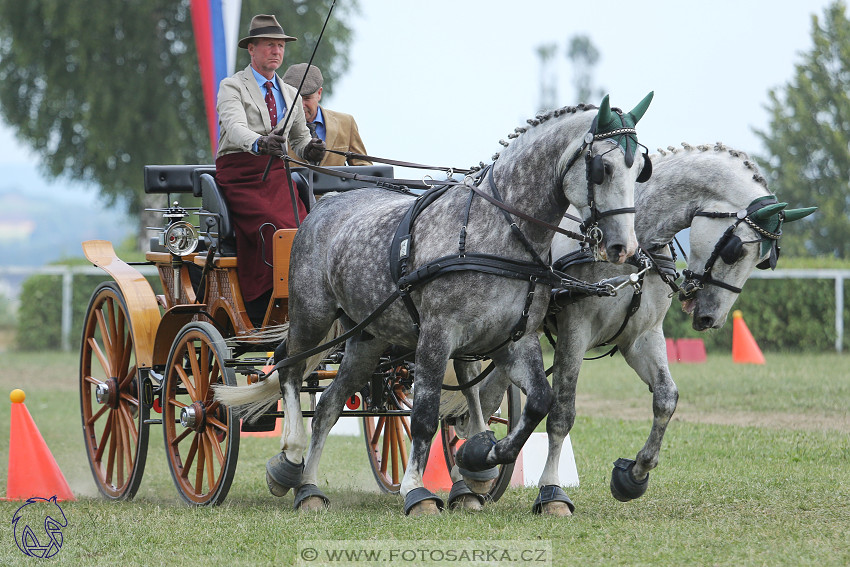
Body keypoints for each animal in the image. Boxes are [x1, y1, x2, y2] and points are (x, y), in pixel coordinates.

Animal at [215, 92, 652, 516]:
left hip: (367, 339)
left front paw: (478, 458)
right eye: (603, 168)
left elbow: (537, 402)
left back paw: (308, 488)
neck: (496, 232)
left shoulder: (513, 340)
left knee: (327, 406)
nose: (624, 248)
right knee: (288, 368)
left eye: (639, 171)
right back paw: (288, 460)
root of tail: (323, 204)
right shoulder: (437, 336)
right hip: (312, 314)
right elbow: (424, 416)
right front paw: (417, 490)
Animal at [470, 141, 816, 516]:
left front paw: (634, 474)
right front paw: (551, 492)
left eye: (764, 262)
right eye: (735, 251)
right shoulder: (574, 332)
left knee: (485, 395)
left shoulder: (642, 337)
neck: (635, 249)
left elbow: (666, 398)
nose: (711, 319)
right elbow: (562, 412)